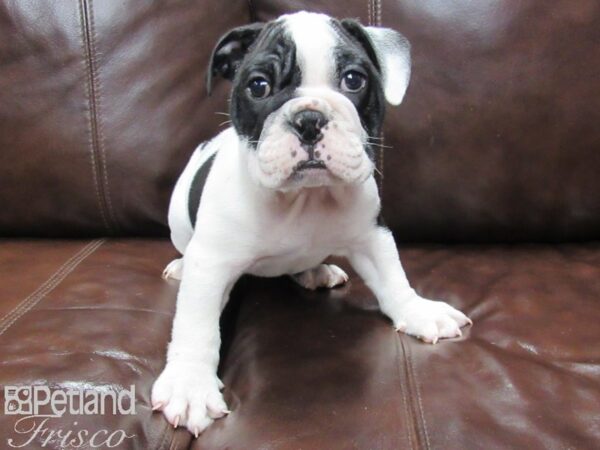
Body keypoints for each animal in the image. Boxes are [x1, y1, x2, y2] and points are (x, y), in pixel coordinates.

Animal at [150, 11, 468, 436]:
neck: (303, 199)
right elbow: (196, 324)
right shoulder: (212, 262)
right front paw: (189, 384)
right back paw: (182, 266)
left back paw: (315, 269)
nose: (309, 118)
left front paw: (417, 310)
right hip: (179, 222)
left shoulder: (372, 234)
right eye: (258, 85)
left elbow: (393, 278)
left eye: (354, 80)